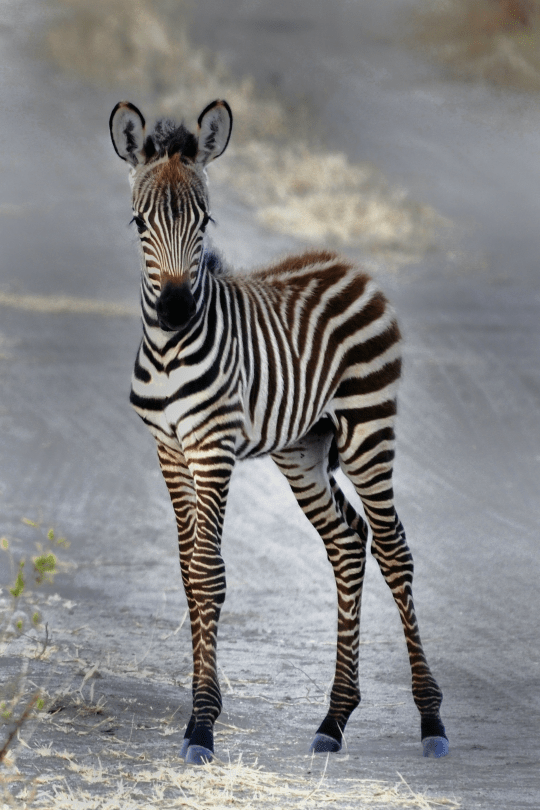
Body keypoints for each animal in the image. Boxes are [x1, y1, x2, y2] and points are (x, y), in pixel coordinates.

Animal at [109, 98, 449, 765]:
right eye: (139, 223)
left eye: (205, 221)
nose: (176, 312)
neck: (169, 351)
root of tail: (350, 264)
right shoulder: (169, 449)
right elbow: (189, 573)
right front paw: (200, 713)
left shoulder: (213, 447)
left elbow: (209, 573)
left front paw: (202, 724)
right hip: (303, 449)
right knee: (348, 542)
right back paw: (334, 718)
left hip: (368, 428)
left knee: (394, 548)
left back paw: (431, 720)